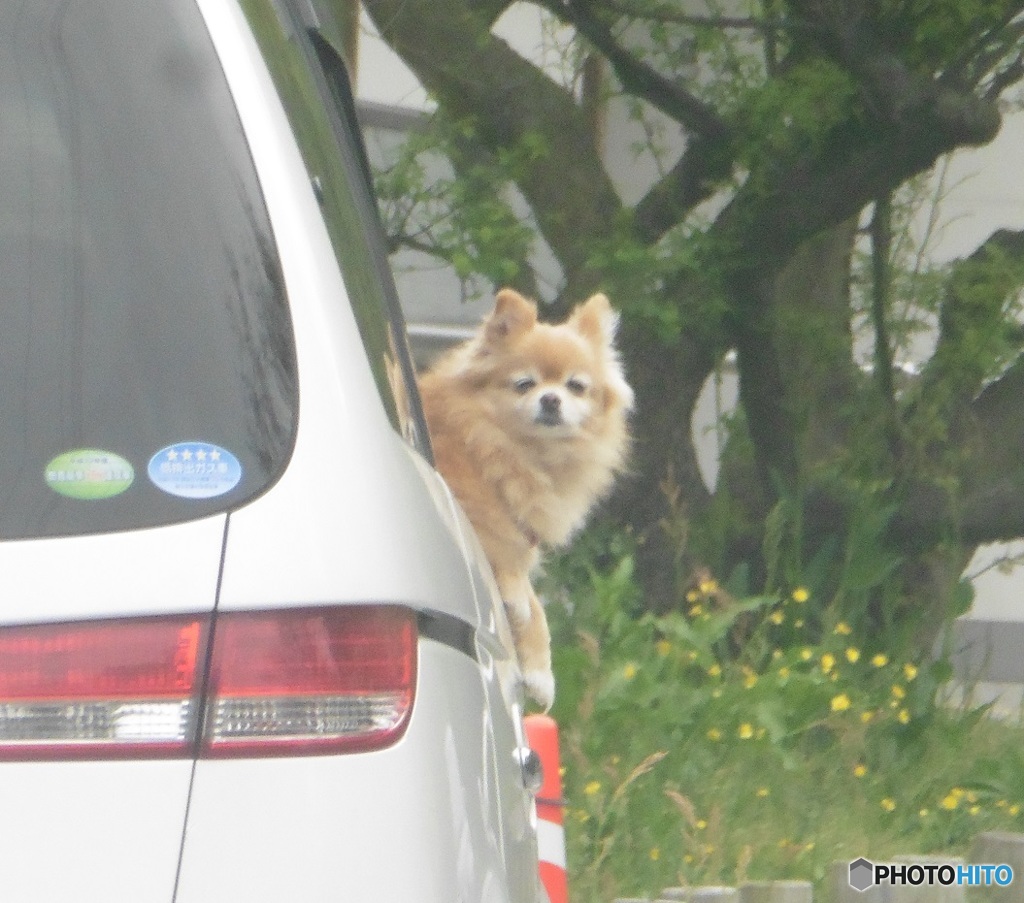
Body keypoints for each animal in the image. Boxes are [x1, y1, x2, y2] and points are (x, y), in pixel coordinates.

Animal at [415, 286, 630, 704]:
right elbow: (520, 590)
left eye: (575, 386)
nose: (551, 399)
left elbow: (535, 609)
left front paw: (539, 673)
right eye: (524, 384)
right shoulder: (492, 527)